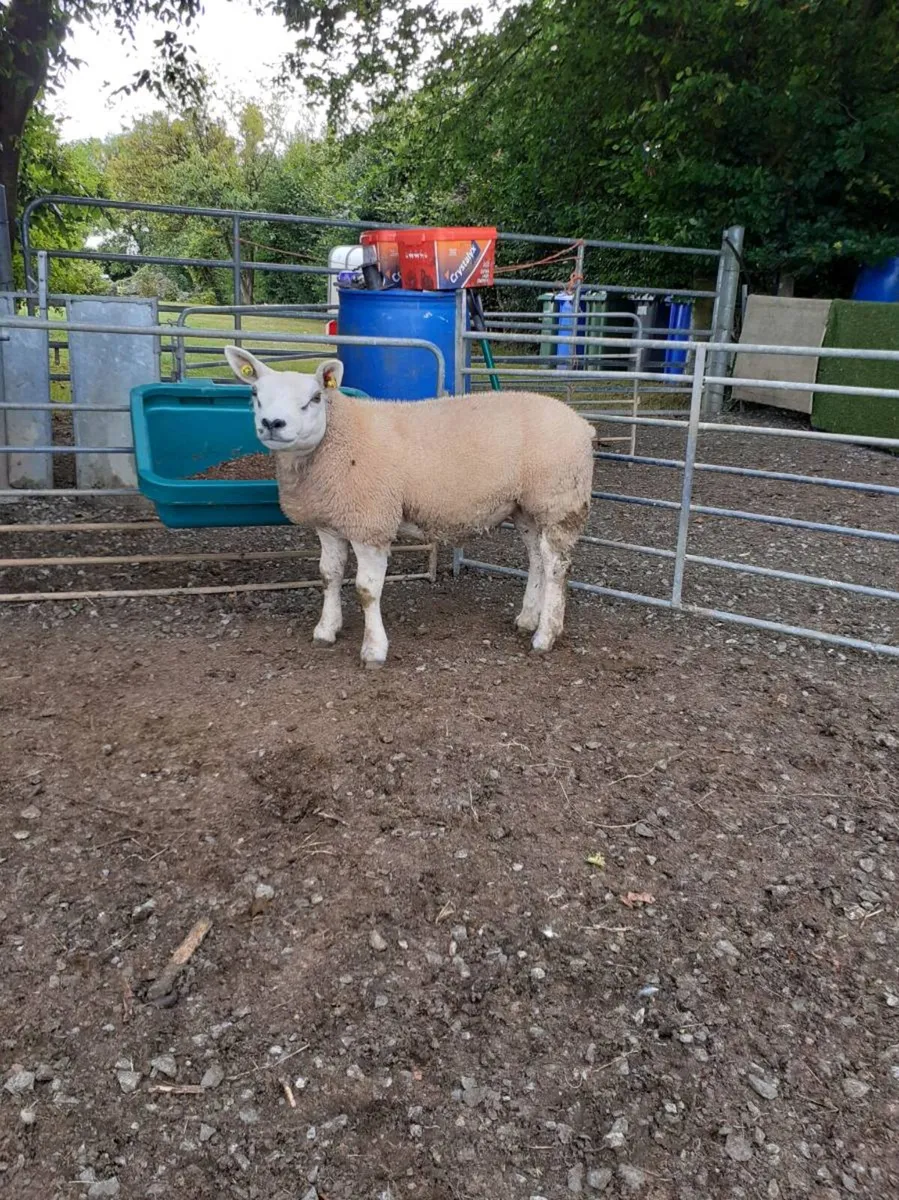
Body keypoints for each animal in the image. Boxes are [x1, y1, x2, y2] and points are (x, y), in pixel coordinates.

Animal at [223, 345, 596, 667]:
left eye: (315, 398)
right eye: (255, 394)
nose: (272, 424)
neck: (338, 438)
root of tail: (581, 423)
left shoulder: (370, 522)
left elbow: (366, 590)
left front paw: (374, 650)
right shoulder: (330, 522)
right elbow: (328, 576)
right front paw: (326, 630)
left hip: (559, 500)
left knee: (557, 566)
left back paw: (546, 635)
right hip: (526, 507)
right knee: (537, 560)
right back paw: (528, 618)